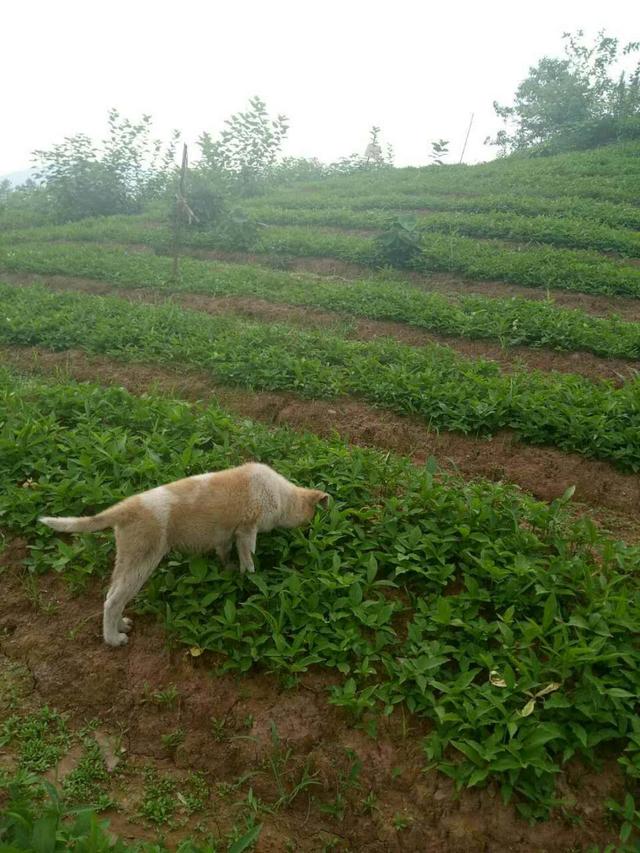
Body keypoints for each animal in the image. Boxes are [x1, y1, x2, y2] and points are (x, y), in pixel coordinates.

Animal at [38, 462, 330, 648]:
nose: (312, 534)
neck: (280, 494)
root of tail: (125, 508)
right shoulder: (247, 531)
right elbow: (249, 561)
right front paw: (250, 580)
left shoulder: (227, 536)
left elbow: (225, 554)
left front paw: (228, 571)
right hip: (142, 562)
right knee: (112, 601)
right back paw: (114, 639)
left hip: (127, 560)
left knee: (112, 596)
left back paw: (121, 625)